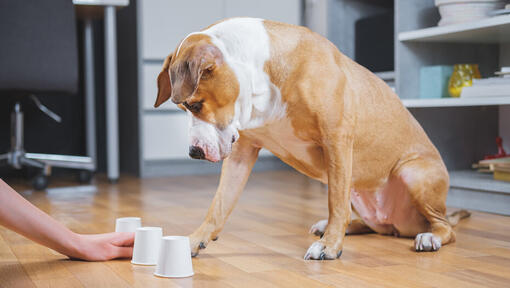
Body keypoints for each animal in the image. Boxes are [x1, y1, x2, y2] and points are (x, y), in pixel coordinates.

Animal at [153, 18, 468, 260]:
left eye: (195, 105)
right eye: (183, 108)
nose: (193, 152)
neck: (262, 75)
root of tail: (401, 224)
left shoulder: (336, 140)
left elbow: (335, 203)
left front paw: (329, 247)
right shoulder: (242, 153)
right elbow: (218, 206)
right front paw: (193, 240)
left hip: (412, 173)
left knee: (444, 227)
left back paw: (429, 237)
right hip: (359, 189)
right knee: (372, 223)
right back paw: (338, 226)